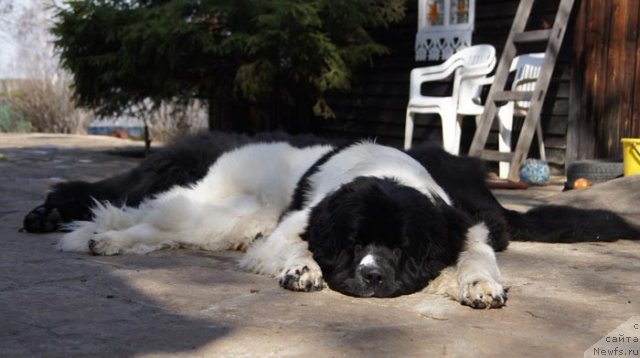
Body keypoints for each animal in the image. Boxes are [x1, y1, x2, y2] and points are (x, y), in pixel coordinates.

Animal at [21, 131, 640, 308]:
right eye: (353, 242)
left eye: (403, 247)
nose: (370, 275)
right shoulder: (294, 227)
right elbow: (295, 245)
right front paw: (303, 270)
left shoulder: (463, 227)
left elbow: (476, 256)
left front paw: (481, 284)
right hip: (226, 209)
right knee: (152, 214)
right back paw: (90, 233)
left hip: (226, 218)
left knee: (155, 222)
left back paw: (94, 236)